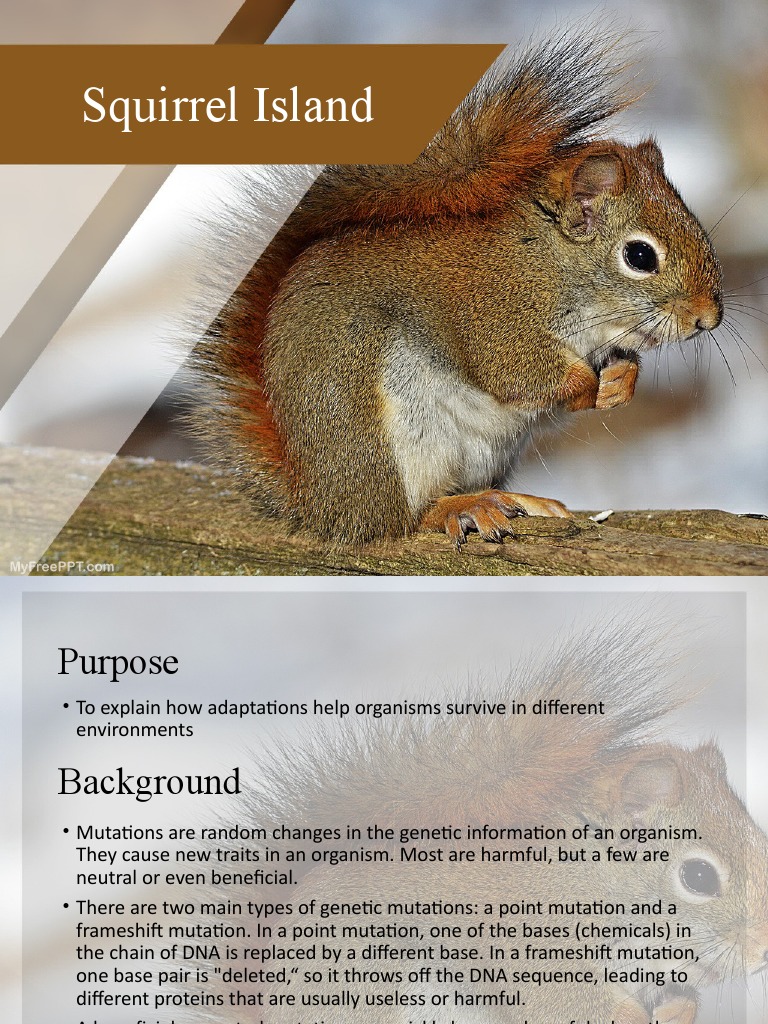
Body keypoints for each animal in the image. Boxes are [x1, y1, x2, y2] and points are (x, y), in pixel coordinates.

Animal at [190, 33, 724, 546]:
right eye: (640, 256)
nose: (708, 318)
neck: (549, 263)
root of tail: (318, 503)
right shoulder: (492, 313)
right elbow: (516, 372)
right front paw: (587, 386)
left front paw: (620, 382)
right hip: (387, 442)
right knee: (405, 518)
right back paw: (462, 508)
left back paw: (519, 501)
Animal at [207, 624, 768, 1024]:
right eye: (698, 877)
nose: (763, 954)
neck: (590, 879)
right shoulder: (538, 955)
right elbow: (569, 1006)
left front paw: (678, 1010)